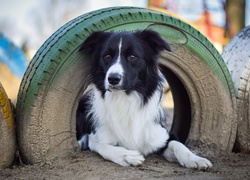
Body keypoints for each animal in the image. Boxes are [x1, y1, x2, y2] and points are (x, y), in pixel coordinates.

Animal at [75, 29, 211, 169]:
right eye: (107, 56)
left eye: (132, 56)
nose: (113, 79)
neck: (125, 99)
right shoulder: (96, 137)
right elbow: (103, 146)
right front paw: (128, 156)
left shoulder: (161, 136)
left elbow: (178, 144)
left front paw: (195, 159)